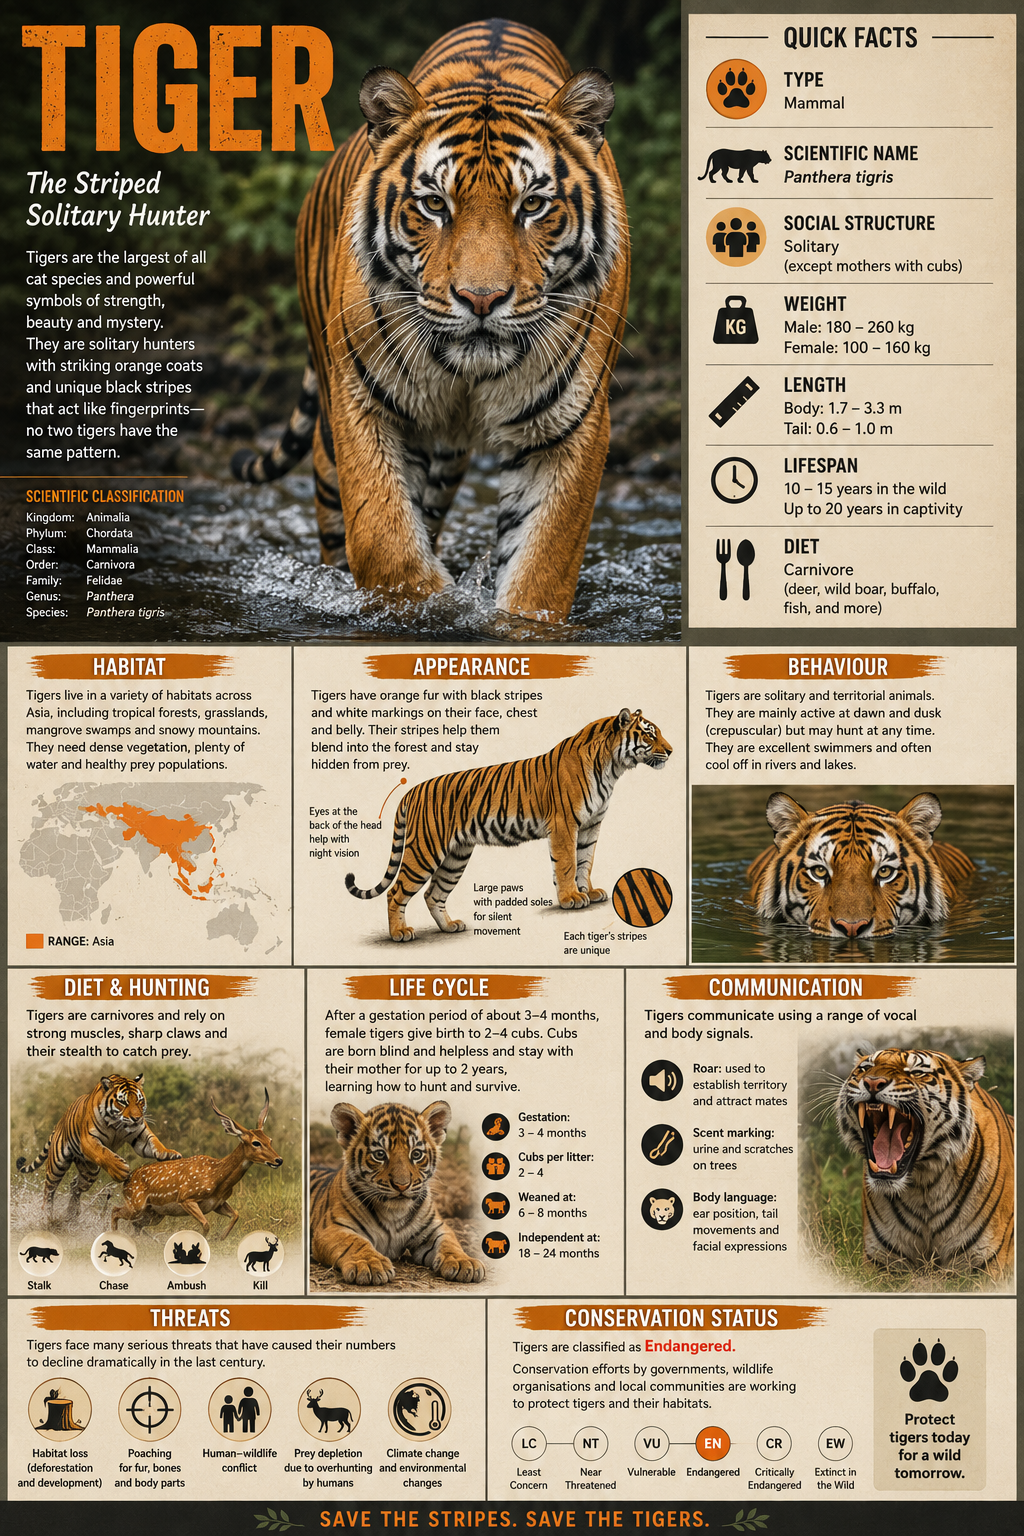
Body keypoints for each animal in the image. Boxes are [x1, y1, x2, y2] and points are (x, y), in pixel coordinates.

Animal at [15, 1073, 180, 1221]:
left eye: (139, 1101)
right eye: (123, 1102)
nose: (137, 1118)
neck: (117, 1124)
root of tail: (59, 1123)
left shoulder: (140, 1136)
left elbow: (155, 1143)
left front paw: (170, 1154)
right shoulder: (88, 1140)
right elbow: (103, 1153)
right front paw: (120, 1170)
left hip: (89, 1171)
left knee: (75, 1185)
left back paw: (72, 1214)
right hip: (58, 1164)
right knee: (49, 1189)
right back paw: (47, 1216)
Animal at [232, 19, 629, 623]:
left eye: (532, 205)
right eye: (435, 204)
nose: (481, 299)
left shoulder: (569, 428)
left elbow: (541, 570)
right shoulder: (362, 405)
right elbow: (385, 543)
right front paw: (429, 607)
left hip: (444, 457)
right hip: (332, 440)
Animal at [309, 1100, 485, 1285]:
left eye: (416, 1154)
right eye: (380, 1154)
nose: (402, 1185)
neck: (394, 1212)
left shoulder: (435, 1228)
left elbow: (450, 1242)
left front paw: (464, 1261)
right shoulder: (331, 1228)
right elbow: (354, 1242)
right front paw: (370, 1264)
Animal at [346, 708, 672, 941]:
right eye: (649, 735)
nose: (670, 751)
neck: (612, 768)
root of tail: (411, 791)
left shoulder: (591, 826)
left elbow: (585, 862)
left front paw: (589, 892)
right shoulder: (565, 824)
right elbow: (567, 863)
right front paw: (570, 898)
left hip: (456, 856)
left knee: (433, 894)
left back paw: (450, 926)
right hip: (425, 850)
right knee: (396, 892)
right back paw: (400, 934)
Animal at [835, 1048, 1014, 1272]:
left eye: (916, 1072)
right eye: (865, 1068)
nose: (873, 1082)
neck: (922, 1188)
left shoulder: (987, 1265)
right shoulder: (882, 1265)